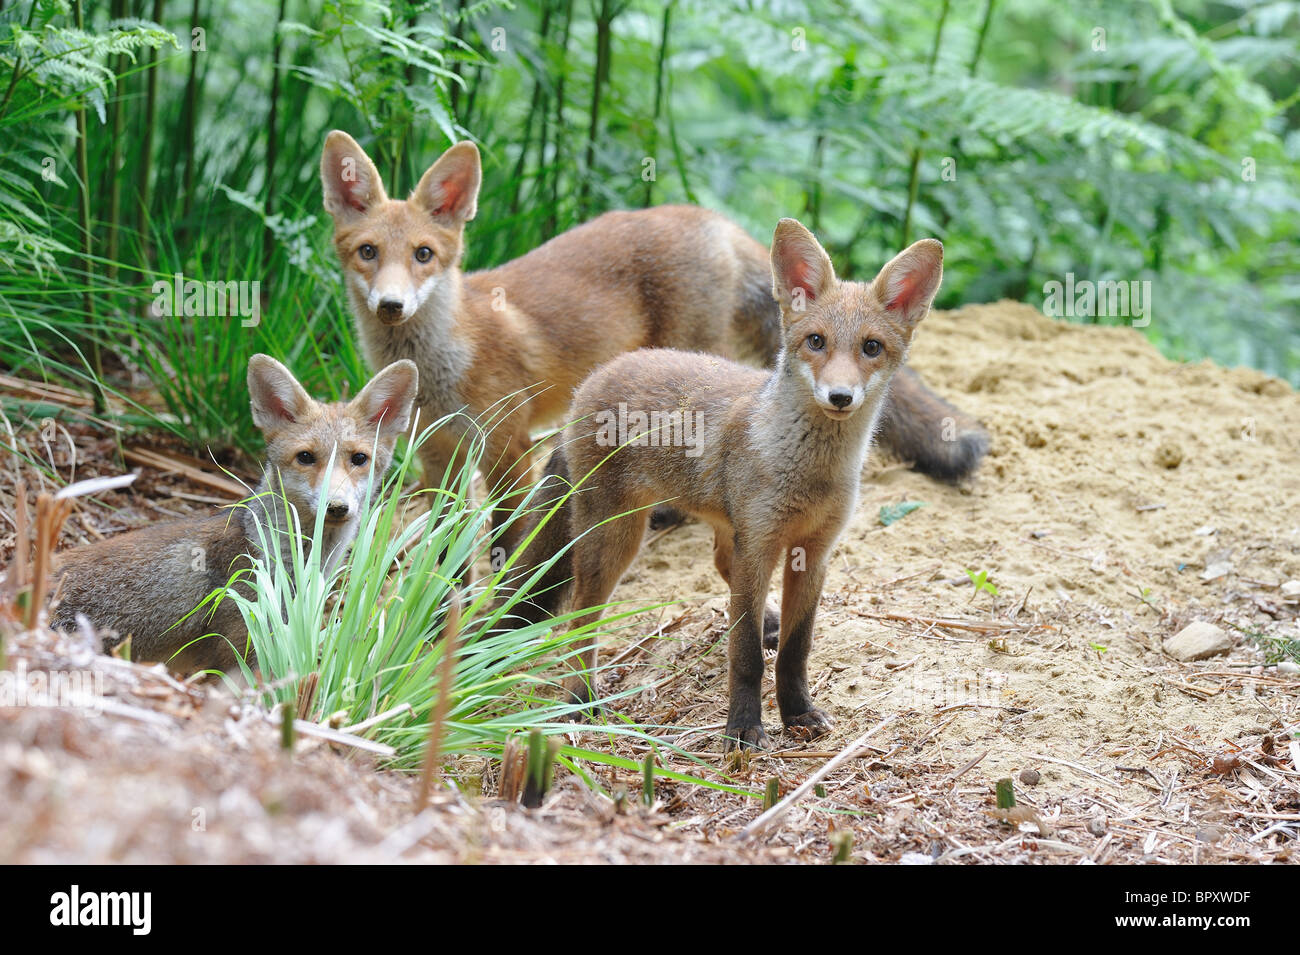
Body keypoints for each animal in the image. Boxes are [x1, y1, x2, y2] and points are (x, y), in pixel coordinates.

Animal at [319, 132, 986, 552]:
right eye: (368, 253)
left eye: (424, 255)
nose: (391, 306)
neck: (438, 363)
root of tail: (711, 218)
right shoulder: (436, 456)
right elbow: (443, 549)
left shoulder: (508, 447)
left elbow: (506, 538)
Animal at [520, 220, 945, 750]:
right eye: (816, 341)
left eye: (871, 347)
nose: (840, 396)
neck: (812, 475)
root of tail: (594, 378)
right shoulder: (760, 543)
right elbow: (745, 656)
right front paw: (743, 728)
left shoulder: (813, 551)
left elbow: (795, 650)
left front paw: (798, 711)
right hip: (615, 537)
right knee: (580, 616)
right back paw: (580, 700)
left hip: (719, 526)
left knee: (721, 564)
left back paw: (767, 621)